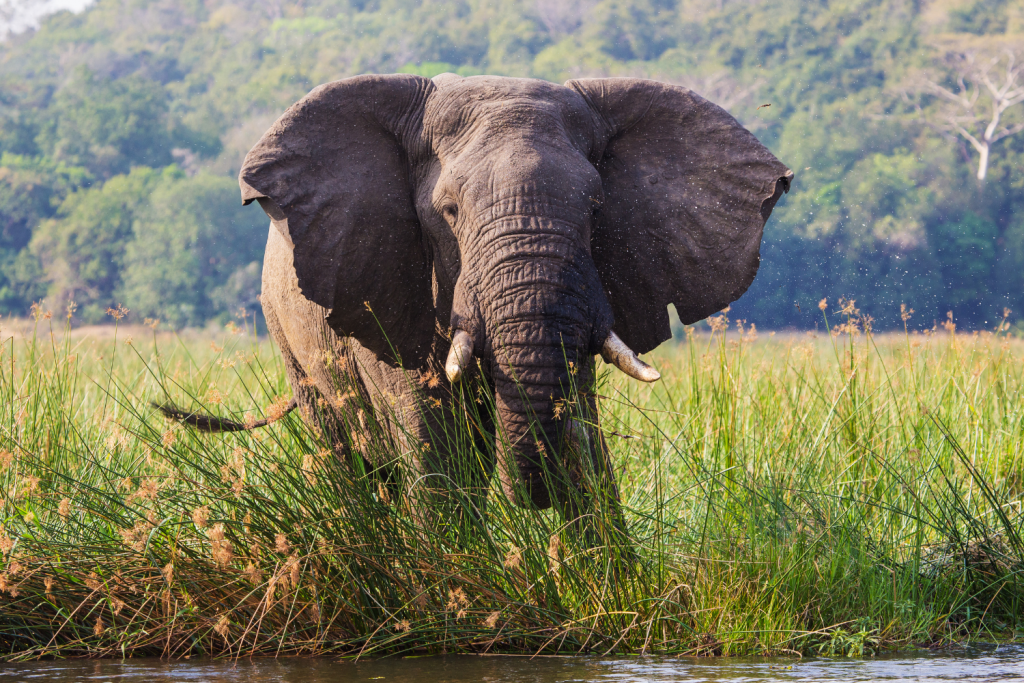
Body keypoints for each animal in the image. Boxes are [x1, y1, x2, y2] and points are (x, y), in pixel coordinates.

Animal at [163, 73, 794, 524]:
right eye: (448, 212)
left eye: (595, 209)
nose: (535, 496)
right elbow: (435, 448)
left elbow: (580, 433)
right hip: (286, 331)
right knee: (347, 454)